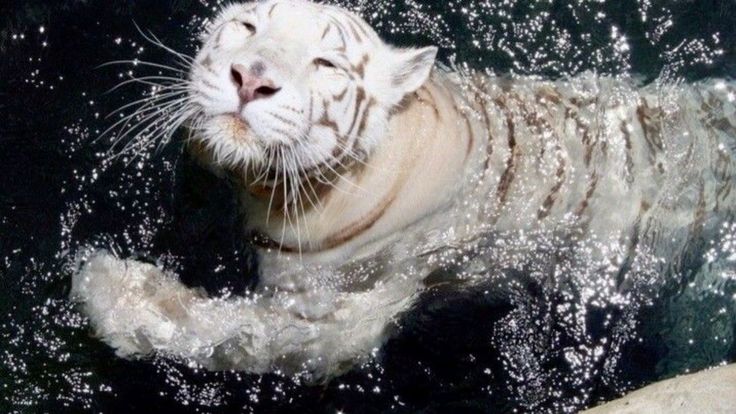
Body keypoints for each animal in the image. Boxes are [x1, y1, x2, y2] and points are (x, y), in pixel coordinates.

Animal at [71, 0, 736, 380]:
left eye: (326, 64)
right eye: (247, 26)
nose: (251, 78)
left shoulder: (343, 316)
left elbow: (230, 334)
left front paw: (108, 291)